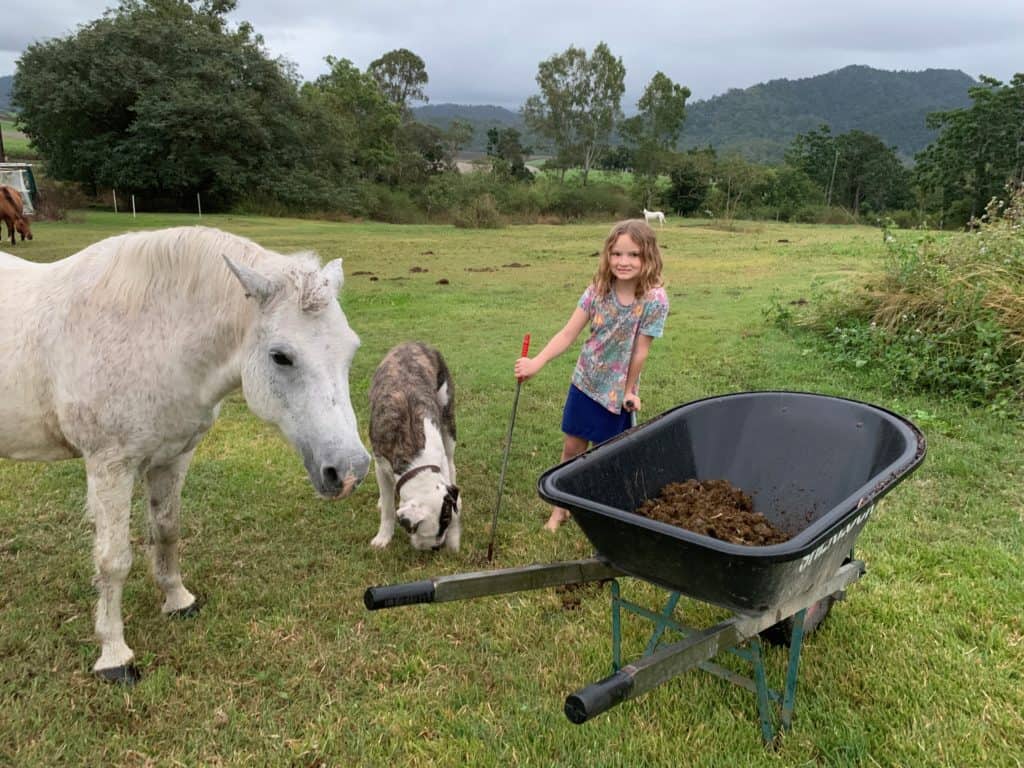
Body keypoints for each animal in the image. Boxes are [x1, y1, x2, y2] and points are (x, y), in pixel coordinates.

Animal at [0, 225, 368, 684]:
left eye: (351, 350)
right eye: (281, 356)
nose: (351, 471)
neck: (149, 332)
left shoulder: (172, 457)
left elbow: (167, 530)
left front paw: (178, 600)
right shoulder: (110, 466)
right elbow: (113, 560)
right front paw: (114, 654)